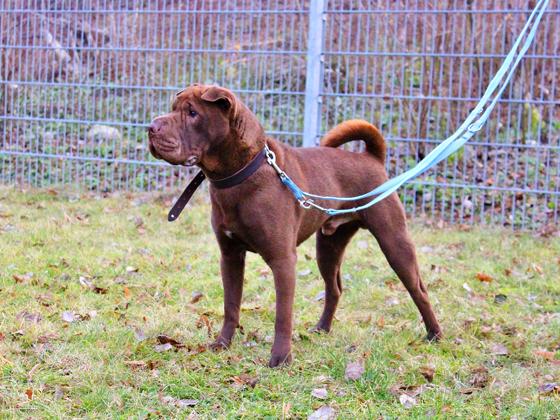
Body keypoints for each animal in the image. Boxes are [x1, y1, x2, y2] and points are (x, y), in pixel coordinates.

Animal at [148, 83, 442, 366]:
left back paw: (435, 334)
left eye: (192, 113)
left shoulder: (282, 259)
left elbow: (283, 314)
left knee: (419, 289)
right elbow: (231, 305)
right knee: (334, 288)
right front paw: (222, 344)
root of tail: (372, 157)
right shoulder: (230, 255)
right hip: (328, 246)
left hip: (393, 239)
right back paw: (322, 328)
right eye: (173, 108)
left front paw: (280, 358)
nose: (150, 127)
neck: (240, 174)